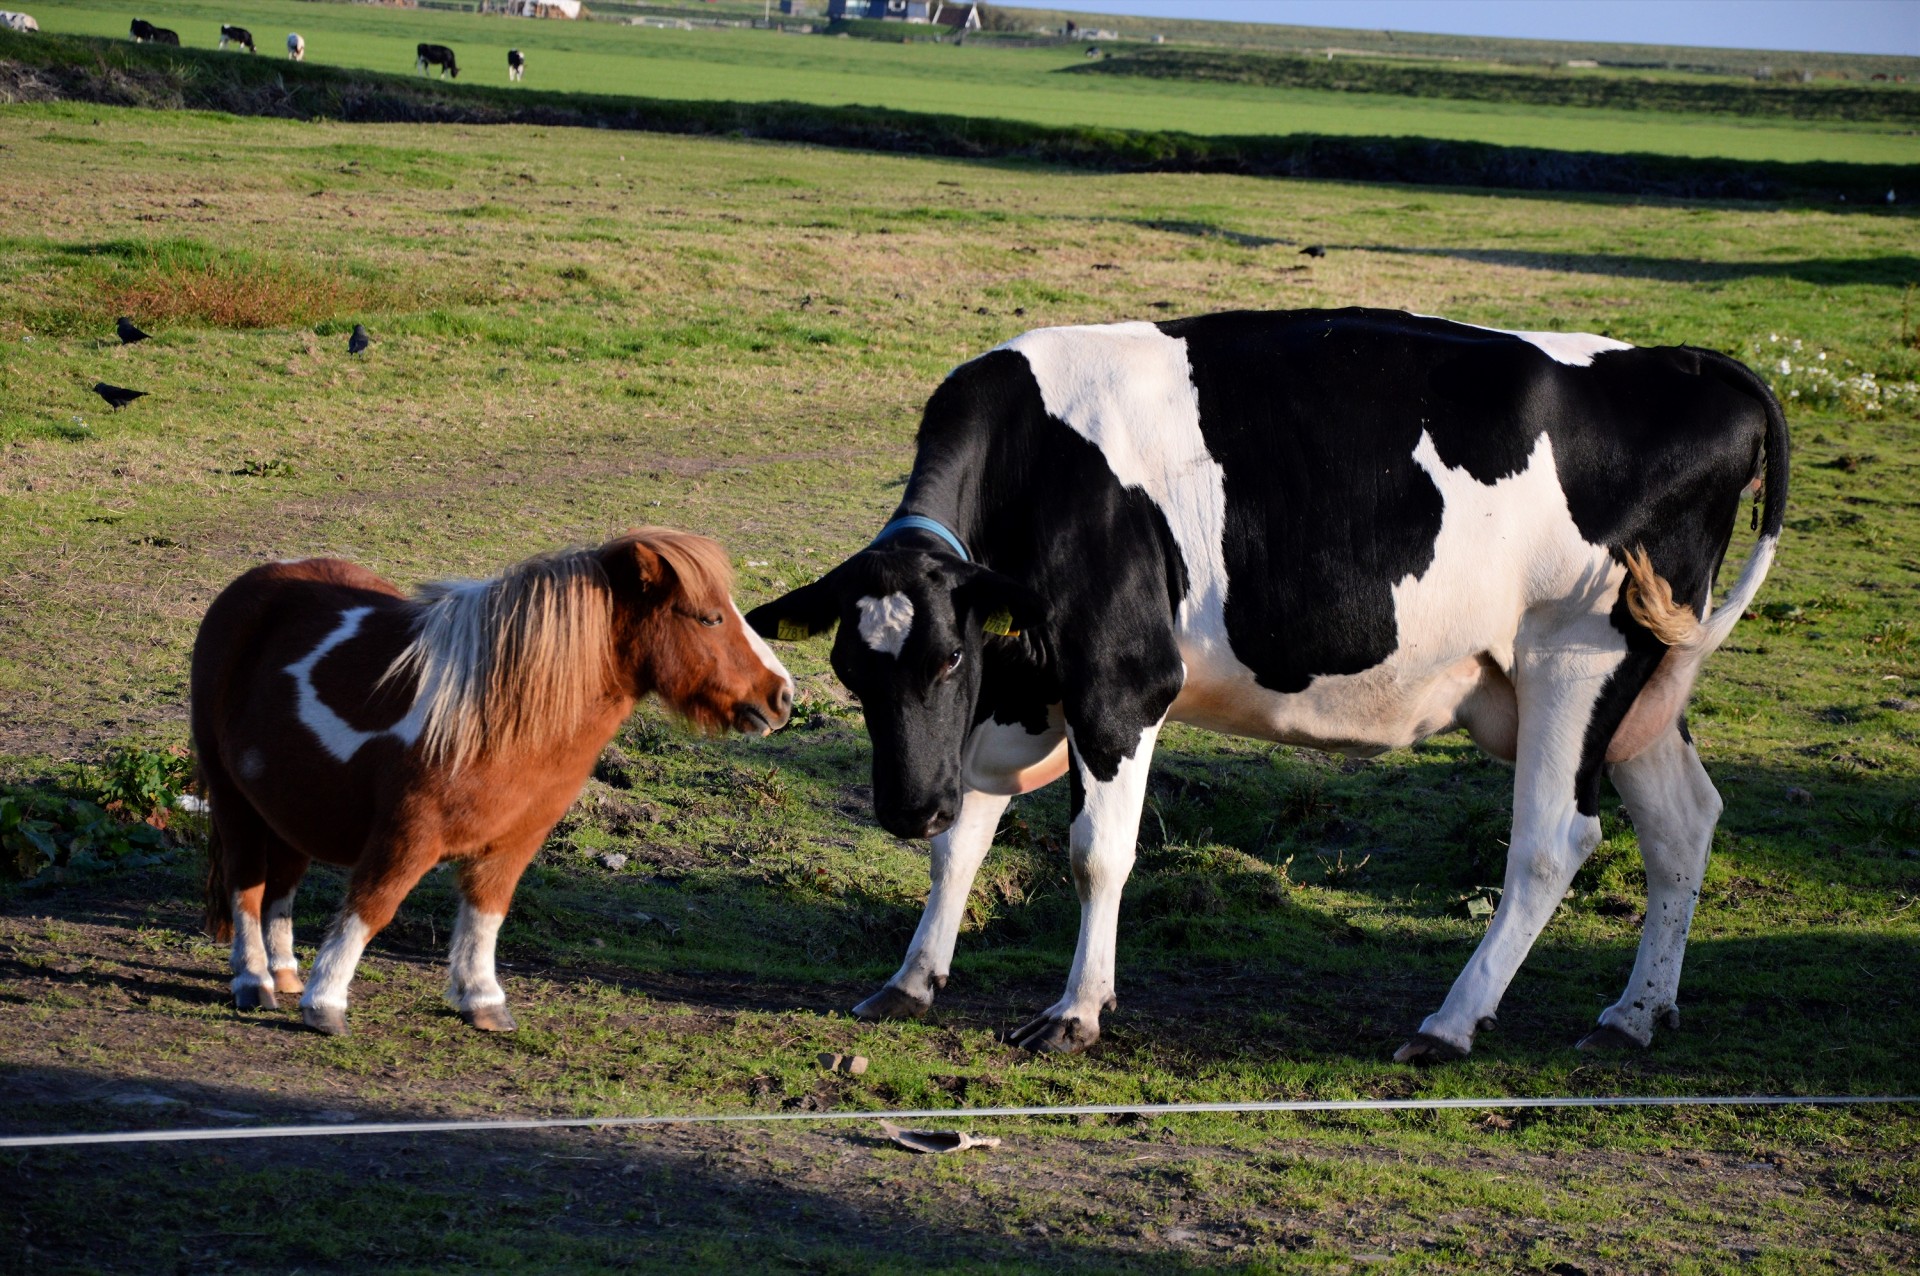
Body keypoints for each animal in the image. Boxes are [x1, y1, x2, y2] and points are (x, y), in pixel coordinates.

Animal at [191, 525, 791, 1036]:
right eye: (710, 619)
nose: (782, 696)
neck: (500, 716)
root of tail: (255, 583)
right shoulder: (406, 836)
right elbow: (370, 908)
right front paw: (327, 1003)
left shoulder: (515, 841)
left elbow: (487, 915)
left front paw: (482, 1000)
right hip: (233, 798)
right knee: (247, 885)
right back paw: (255, 980)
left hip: (289, 807)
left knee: (281, 886)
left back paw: (286, 973)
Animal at [748, 310, 1781, 1066]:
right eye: (849, 670)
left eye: (949, 659)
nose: (902, 808)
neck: (1041, 468)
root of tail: (1691, 365)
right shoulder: (1018, 695)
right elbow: (962, 843)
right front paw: (912, 980)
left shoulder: (1121, 683)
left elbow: (1095, 855)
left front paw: (1077, 1011)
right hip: (1643, 682)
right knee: (1682, 822)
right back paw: (1635, 1014)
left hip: (1574, 658)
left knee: (1551, 841)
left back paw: (1449, 1024)